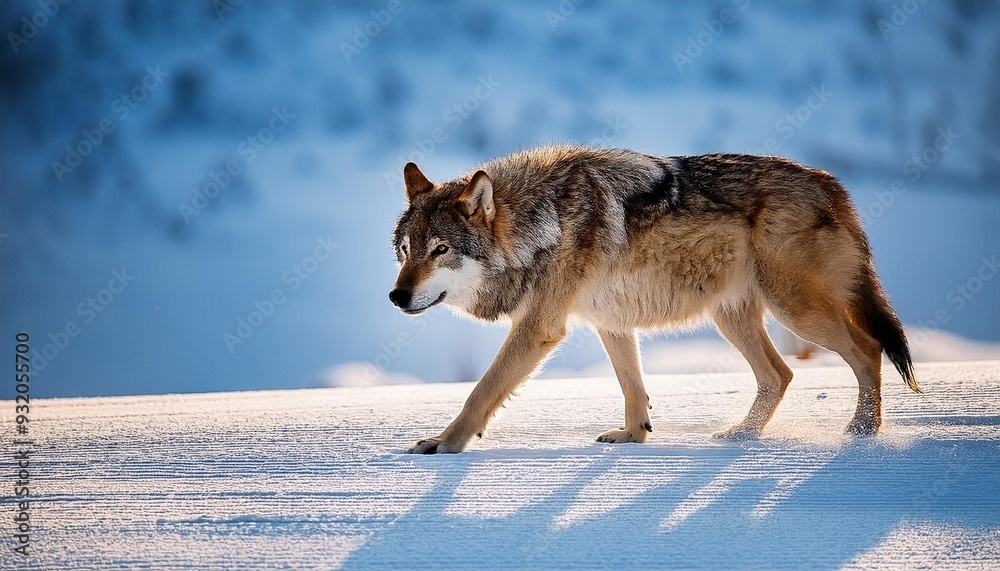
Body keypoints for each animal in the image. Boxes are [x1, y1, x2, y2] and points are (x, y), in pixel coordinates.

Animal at [389, 145, 919, 454]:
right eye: (407, 250)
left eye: (441, 250)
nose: (396, 295)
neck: (539, 222)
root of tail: (829, 182)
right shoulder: (611, 322)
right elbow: (633, 389)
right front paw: (632, 437)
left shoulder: (539, 329)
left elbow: (480, 391)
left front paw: (443, 444)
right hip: (734, 318)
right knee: (781, 374)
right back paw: (741, 436)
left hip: (796, 311)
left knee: (868, 350)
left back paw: (861, 434)